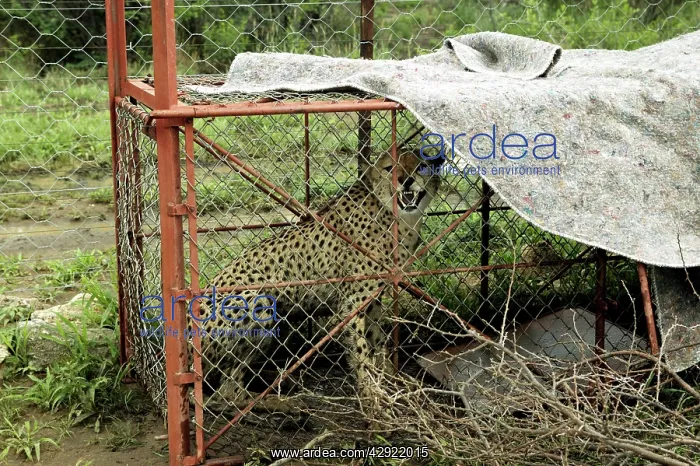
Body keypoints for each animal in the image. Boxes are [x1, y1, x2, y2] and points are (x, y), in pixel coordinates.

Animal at [191, 150, 442, 418]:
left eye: (421, 167)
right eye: (389, 168)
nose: (406, 181)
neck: (395, 214)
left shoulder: (372, 299)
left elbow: (376, 341)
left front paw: (388, 379)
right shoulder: (352, 303)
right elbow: (361, 352)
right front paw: (372, 396)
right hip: (259, 303)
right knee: (225, 394)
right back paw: (282, 403)